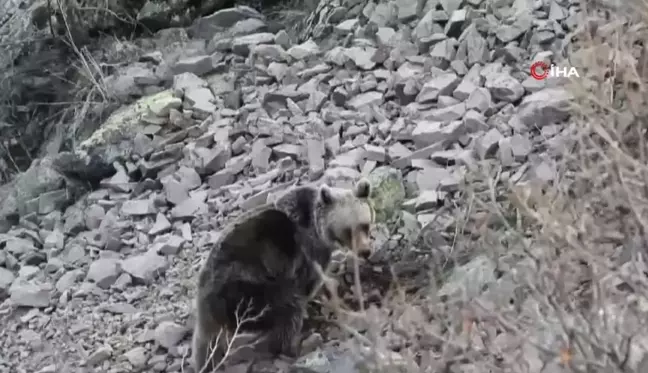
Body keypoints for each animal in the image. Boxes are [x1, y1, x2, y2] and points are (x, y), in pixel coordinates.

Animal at [191, 179, 374, 370]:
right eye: (347, 230)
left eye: (364, 224)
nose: (365, 251)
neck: (317, 226)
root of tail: (209, 300)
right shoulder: (307, 253)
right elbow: (308, 284)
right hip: (252, 289)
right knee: (288, 309)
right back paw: (292, 346)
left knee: (203, 342)